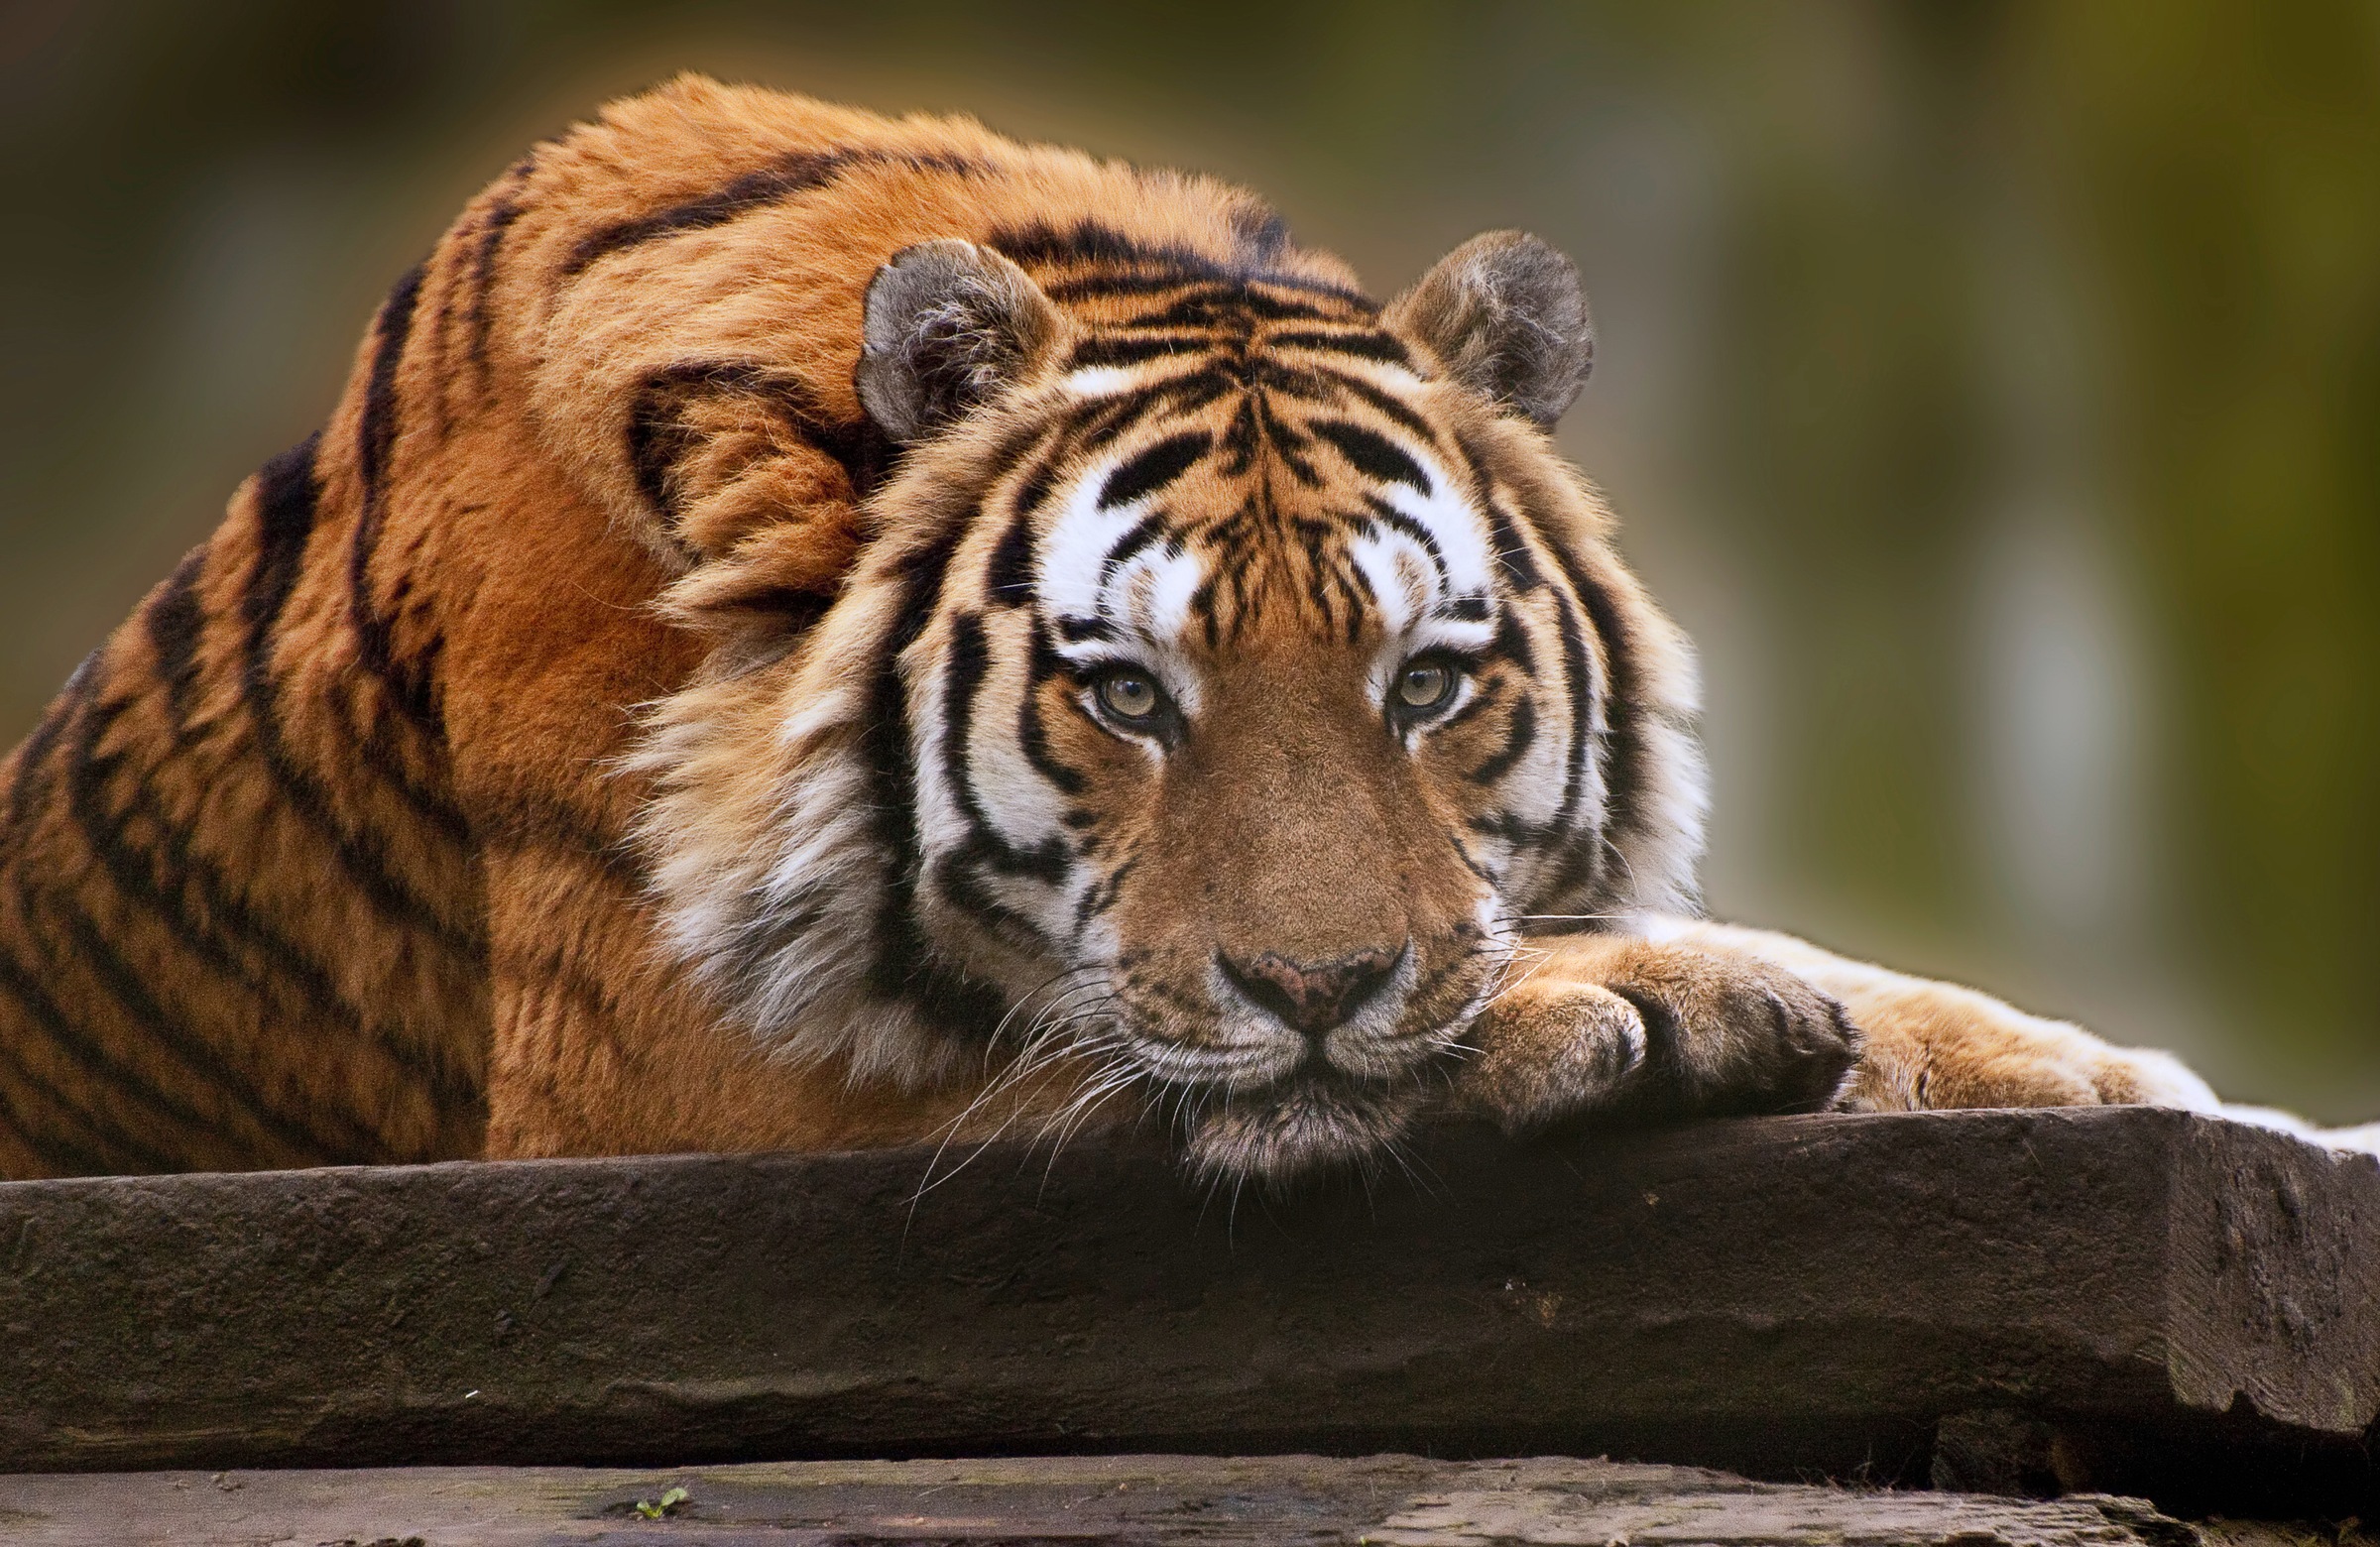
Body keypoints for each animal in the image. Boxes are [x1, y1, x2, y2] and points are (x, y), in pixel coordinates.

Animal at [0, 75, 2295, 1186]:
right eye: (1123, 697)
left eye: (1428, 683)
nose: (1318, 991)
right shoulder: (659, 1070)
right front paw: (1645, 1007)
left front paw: (2183, 1097)